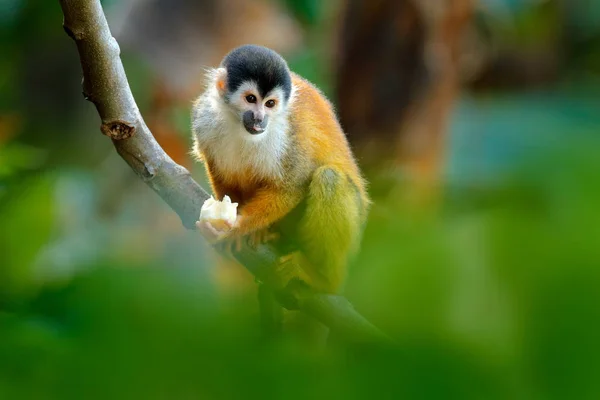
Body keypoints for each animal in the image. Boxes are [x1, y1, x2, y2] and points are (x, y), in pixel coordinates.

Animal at [192, 44, 370, 294]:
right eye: (250, 99)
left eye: (270, 104)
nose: (259, 118)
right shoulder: (204, 118)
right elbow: (217, 167)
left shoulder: (291, 135)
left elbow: (291, 186)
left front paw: (237, 227)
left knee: (330, 177)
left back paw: (325, 279)